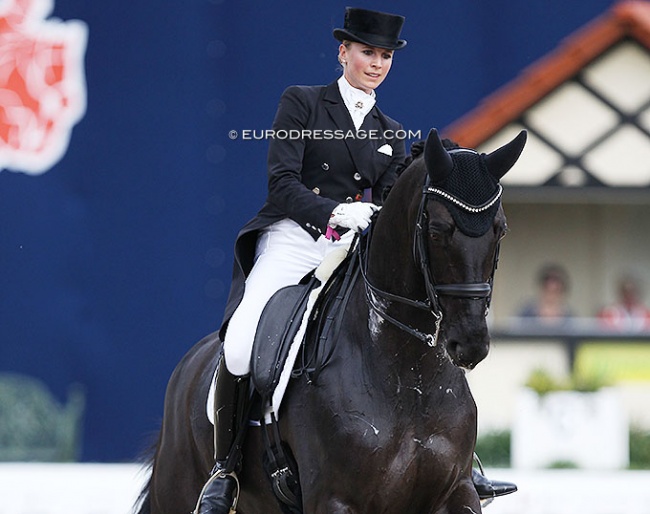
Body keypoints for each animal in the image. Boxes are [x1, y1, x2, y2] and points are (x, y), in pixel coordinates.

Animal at [134, 129, 524, 512]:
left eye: (501, 229)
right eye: (438, 230)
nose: (470, 343)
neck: (409, 376)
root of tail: (189, 365)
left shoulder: (457, 491)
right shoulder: (335, 498)